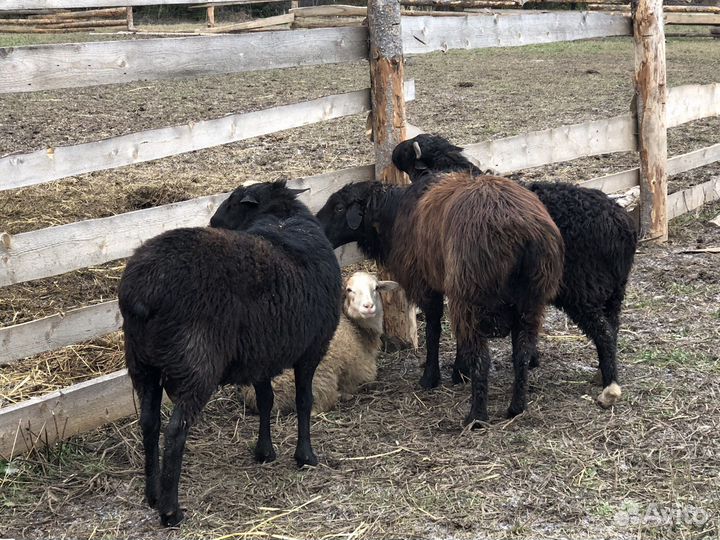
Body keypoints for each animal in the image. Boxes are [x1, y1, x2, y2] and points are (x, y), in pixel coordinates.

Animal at [118, 181, 342, 527]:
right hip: (196, 364)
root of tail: (142, 294)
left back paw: (152, 494)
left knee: (149, 423)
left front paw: (264, 452)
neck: (282, 220)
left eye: (232, 203)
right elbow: (304, 401)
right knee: (175, 430)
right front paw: (306, 457)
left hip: (142, 364)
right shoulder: (312, 348)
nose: (212, 222)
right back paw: (170, 511)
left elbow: (266, 401)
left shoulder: (262, 354)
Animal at [240, 271, 398, 414]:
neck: (358, 329)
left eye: (376, 288)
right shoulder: (365, 372)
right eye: (349, 289)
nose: (368, 306)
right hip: (321, 379)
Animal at [316, 174, 564, 426]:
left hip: (472, 294)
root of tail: (523, 233)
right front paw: (459, 372)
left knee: (483, 358)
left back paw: (476, 416)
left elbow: (433, 330)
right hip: (530, 299)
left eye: (338, 208)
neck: (393, 215)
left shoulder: (428, 284)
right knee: (521, 353)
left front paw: (431, 377)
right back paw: (516, 408)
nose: (316, 230)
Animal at [392, 134, 638, 408]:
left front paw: (448, 374)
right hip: (614, 291)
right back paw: (602, 372)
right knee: (613, 327)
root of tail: (622, 225)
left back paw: (609, 386)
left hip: (582, 289)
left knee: (603, 332)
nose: (394, 152)